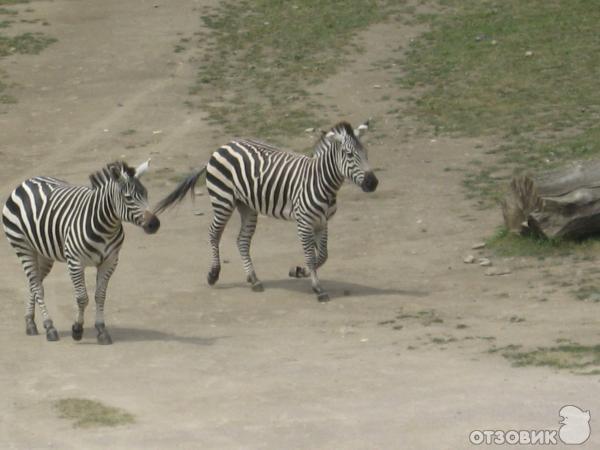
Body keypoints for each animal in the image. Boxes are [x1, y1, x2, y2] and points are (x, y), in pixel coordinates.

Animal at [1, 161, 159, 344]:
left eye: (146, 193)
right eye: (128, 198)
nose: (154, 224)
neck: (106, 227)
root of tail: (26, 182)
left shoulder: (110, 262)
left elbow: (100, 295)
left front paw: (101, 330)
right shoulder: (75, 262)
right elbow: (82, 298)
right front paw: (77, 329)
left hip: (43, 253)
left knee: (34, 283)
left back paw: (30, 322)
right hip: (22, 246)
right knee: (37, 287)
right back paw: (49, 327)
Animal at [155, 119, 380, 302]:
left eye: (366, 153)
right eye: (349, 155)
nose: (373, 183)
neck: (321, 182)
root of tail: (221, 147)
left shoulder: (323, 222)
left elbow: (322, 255)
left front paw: (299, 271)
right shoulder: (304, 222)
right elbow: (310, 256)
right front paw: (318, 288)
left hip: (247, 206)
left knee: (242, 240)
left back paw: (254, 279)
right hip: (223, 200)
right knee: (214, 234)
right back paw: (213, 274)